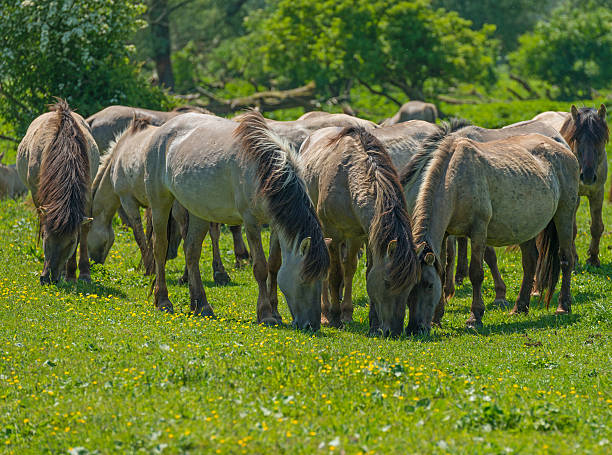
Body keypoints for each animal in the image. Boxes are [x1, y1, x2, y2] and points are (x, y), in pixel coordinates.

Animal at [17, 101, 99, 284]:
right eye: (46, 239)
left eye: (71, 242)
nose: (47, 278)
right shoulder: (37, 193)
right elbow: (43, 223)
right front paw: (66, 273)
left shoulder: (87, 194)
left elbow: (84, 229)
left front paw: (78, 273)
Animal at [145, 112, 330, 330]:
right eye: (303, 278)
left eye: (322, 278)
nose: (312, 325)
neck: (266, 171)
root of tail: (163, 128)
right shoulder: (251, 222)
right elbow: (261, 267)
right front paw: (265, 314)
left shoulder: (276, 225)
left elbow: (274, 265)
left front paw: (276, 312)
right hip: (160, 202)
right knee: (160, 248)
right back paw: (163, 301)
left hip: (198, 210)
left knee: (191, 252)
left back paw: (200, 304)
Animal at [298, 126, 424, 336]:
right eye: (387, 282)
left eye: (413, 285)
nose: (395, 331)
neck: (348, 178)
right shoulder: (334, 234)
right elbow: (335, 275)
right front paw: (335, 317)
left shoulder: (364, 236)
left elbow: (360, 272)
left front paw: (370, 321)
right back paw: (325, 313)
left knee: (348, 267)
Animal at [406, 133, 580, 332]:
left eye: (428, 286)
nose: (414, 329)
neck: (455, 180)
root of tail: (564, 149)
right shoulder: (444, 235)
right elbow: (442, 273)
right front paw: (437, 318)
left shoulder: (478, 231)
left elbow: (476, 273)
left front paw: (475, 317)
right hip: (526, 226)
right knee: (530, 263)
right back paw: (520, 307)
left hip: (565, 214)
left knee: (566, 258)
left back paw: (563, 306)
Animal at [510, 104, 608, 268]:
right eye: (576, 138)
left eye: (599, 138)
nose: (587, 176)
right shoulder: (573, 197)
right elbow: (572, 229)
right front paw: (575, 259)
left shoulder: (597, 192)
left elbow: (596, 226)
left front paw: (594, 259)